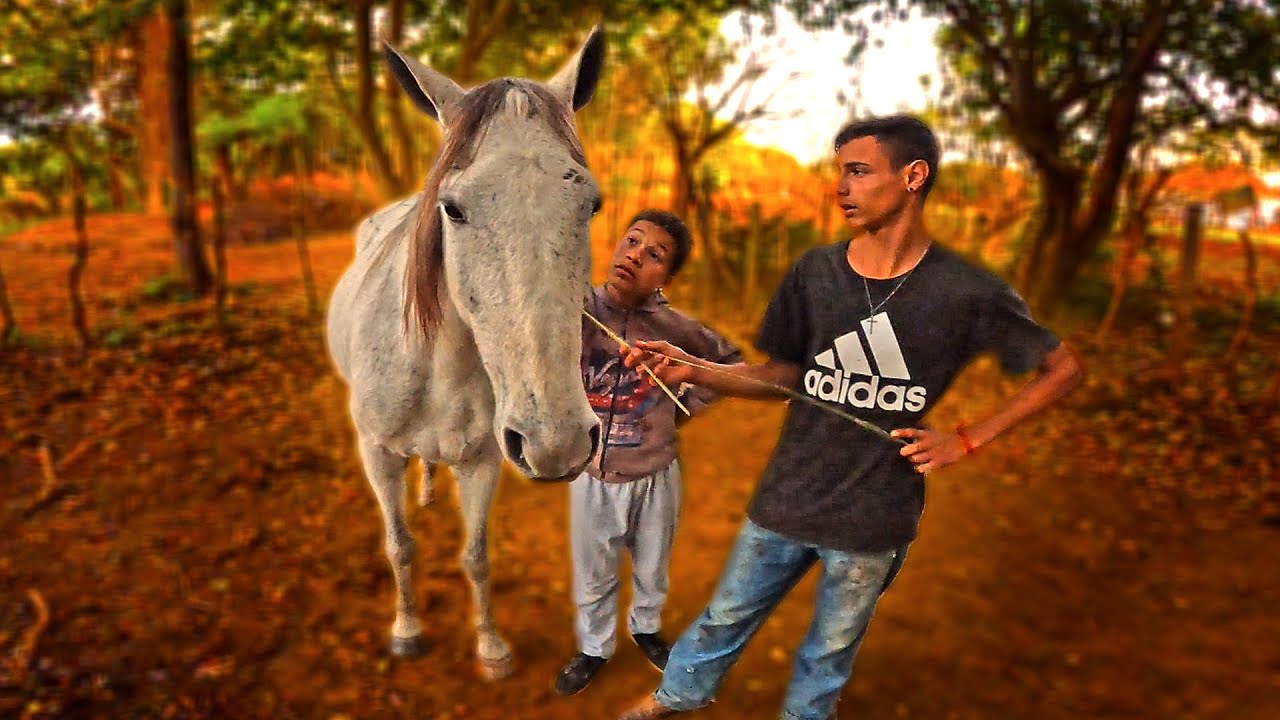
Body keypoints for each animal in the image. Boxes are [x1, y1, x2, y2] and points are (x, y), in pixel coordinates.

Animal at [324, 27, 605, 679]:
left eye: (592, 204)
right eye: (453, 208)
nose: (559, 443)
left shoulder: (483, 460)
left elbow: (476, 557)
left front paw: (491, 648)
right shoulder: (376, 453)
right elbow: (399, 545)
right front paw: (406, 631)